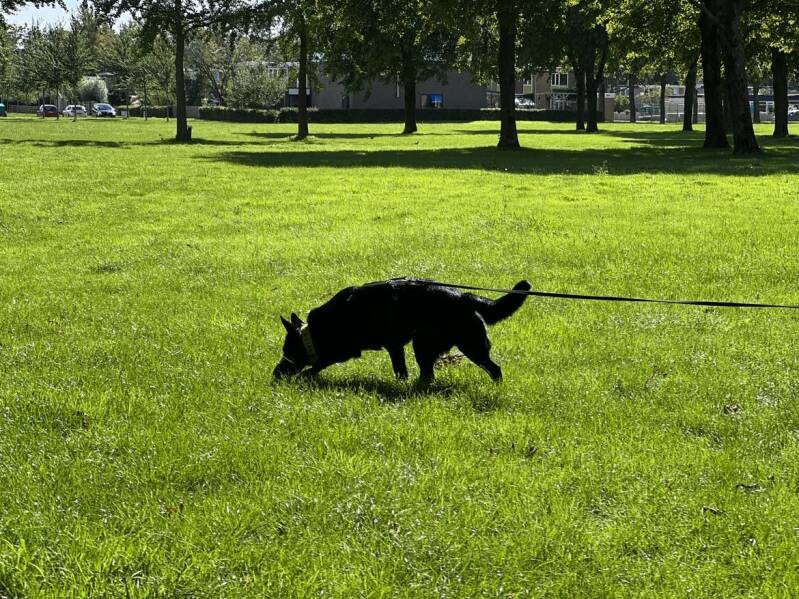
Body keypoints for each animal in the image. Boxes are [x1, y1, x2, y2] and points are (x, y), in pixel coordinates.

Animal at [273, 278, 531, 383]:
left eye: (287, 351)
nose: (276, 373)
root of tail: (464, 296)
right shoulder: (394, 347)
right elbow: (401, 371)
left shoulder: (344, 350)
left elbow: (319, 363)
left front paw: (304, 376)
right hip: (427, 346)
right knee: (428, 374)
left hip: (467, 346)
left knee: (495, 369)